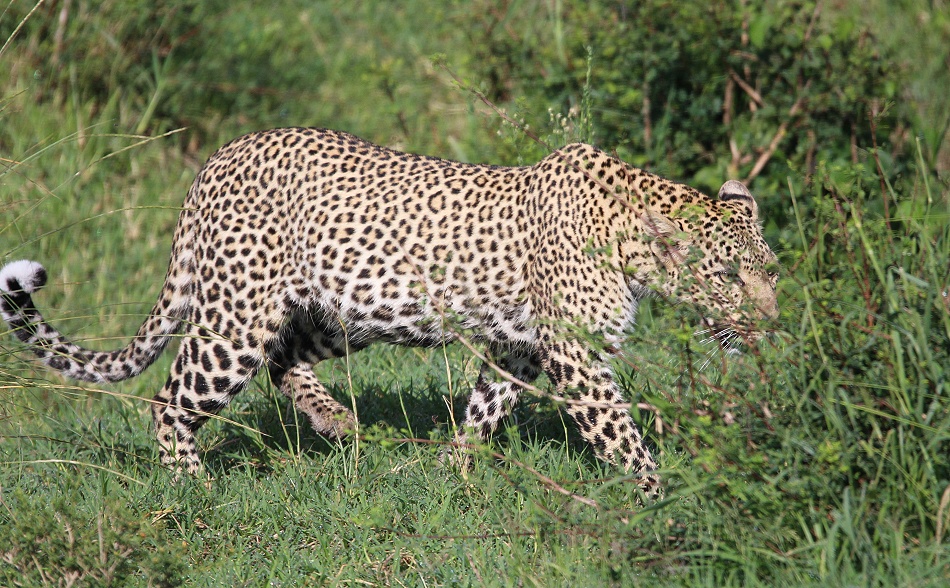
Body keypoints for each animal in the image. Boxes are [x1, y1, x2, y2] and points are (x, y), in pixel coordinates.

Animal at [0, 127, 779, 497]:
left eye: (768, 272)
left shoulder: (520, 347)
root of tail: (214, 163)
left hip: (338, 310)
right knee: (170, 399)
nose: (770, 325)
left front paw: (458, 475)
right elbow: (622, 437)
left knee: (285, 361)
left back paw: (337, 422)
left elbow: (486, 409)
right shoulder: (577, 356)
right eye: (728, 277)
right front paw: (663, 498)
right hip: (236, 316)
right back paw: (193, 489)